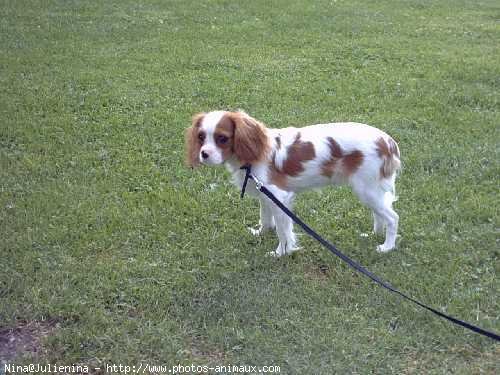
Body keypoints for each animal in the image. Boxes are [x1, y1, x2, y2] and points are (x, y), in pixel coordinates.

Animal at [186, 111, 400, 258]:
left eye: (222, 138)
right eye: (201, 137)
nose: (204, 154)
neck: (255, 153)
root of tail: (388, 141)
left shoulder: (280, 197)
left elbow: (283, 231)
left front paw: (281, 252)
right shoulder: (265, 195)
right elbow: (265, 218)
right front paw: (261, 233)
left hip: (366, 189)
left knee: (392, 217)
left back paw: (387, 246)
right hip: (370, 191)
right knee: (379, 214)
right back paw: (373, 234)